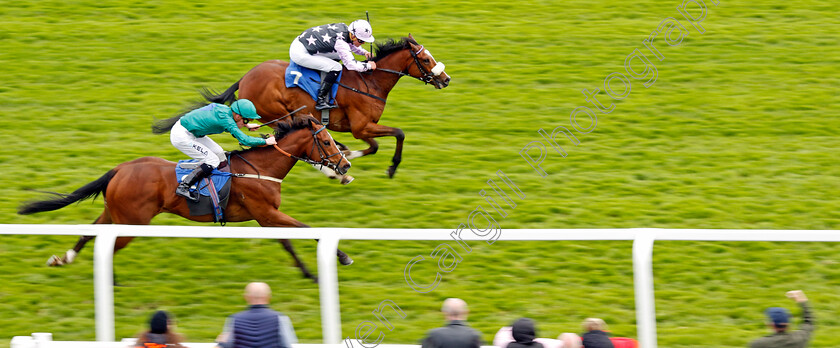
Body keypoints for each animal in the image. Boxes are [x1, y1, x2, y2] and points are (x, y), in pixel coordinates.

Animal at [19, 115, 352, 282]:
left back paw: (63, 259)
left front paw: (309, 273)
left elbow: (288, 242)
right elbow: (308, 230)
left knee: (90, 233)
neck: (261, 169)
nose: (346, 166)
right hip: (132, 221)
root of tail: (120, 169)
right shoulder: (267, 213)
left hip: (114, 212)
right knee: (109, 245)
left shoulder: (265, 216)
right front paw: (342, 257)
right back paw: (108, 279)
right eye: (326, 142)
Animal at [201, 35, 450, 178]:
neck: (370, 81)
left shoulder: (360, 128)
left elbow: (374, 146)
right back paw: (333, 173)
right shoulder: (361, 127)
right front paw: (392, 167)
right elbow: (399, 133)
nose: (446, 79)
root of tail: (245, 79)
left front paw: (345, 154)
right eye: (426, 60)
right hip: (281, 115)